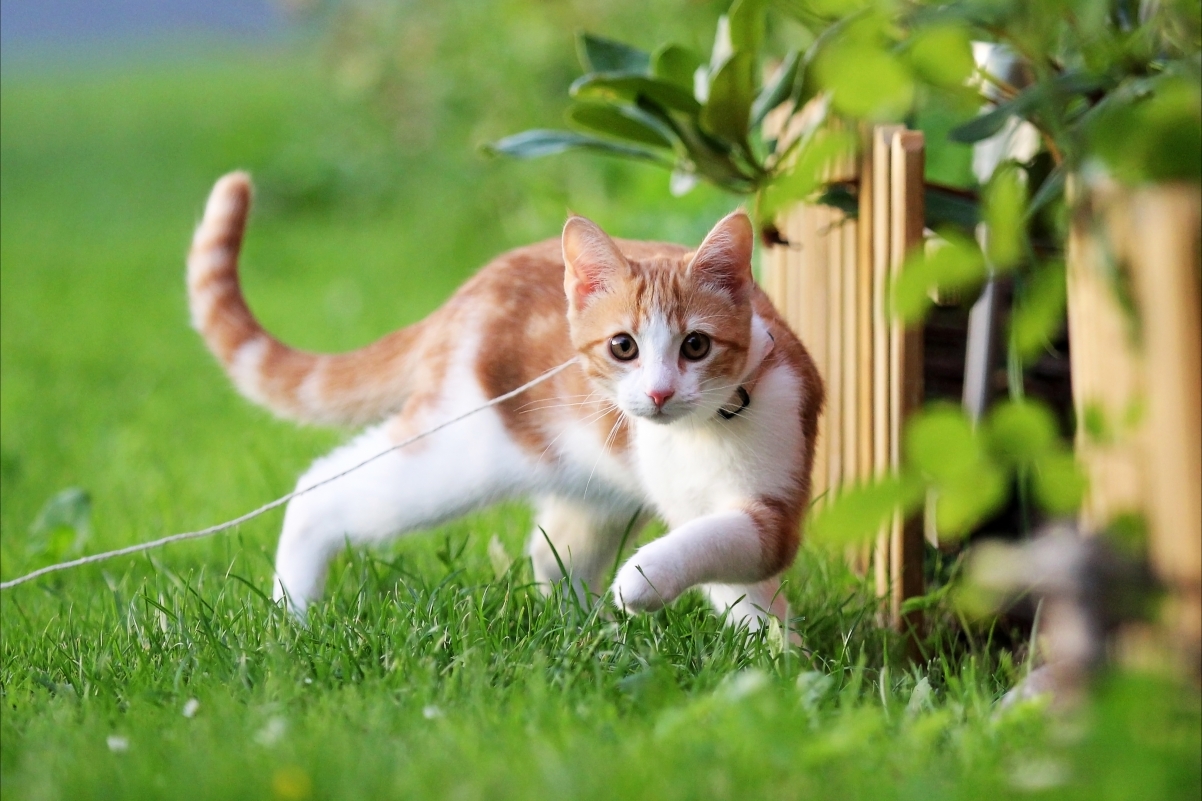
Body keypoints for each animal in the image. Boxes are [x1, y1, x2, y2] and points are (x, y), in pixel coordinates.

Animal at [187, 173, 822, 630]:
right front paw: (644, 582)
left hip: (593, 486)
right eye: (624, 347)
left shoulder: (769, 506)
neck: (699, 434)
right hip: (455, 453)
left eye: (696, 345)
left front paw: (776, 668)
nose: (660, 391)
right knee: (322, 489)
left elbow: (734, 571)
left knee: (556, 548)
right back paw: (291, 614)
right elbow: (713, 550)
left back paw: (586, 632)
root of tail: (469, 291)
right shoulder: (717, 514)